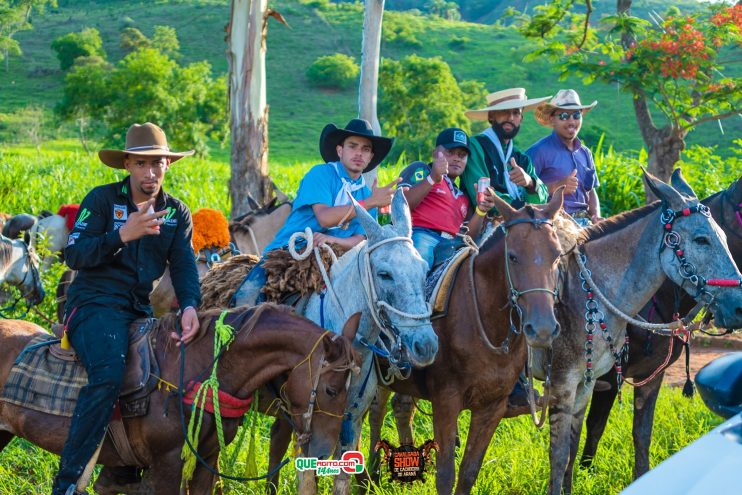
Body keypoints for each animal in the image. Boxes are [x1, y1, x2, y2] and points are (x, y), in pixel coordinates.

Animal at [364, 191, 568, 495]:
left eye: (557, 255)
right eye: (512, 256)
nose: (542, 329)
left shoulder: (491, 408)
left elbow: (468, 473)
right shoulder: (446, 402)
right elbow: (446, 476)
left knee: (401, 408)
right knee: (375, 413)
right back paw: (370, 475)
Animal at [540, 169, 742, 494]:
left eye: (724, 236)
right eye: (702, 239)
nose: (738, 306)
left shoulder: (651, 376)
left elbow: (640, 434)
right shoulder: (598, 380)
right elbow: (590, 430)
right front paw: (586, 469)